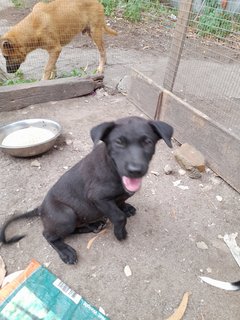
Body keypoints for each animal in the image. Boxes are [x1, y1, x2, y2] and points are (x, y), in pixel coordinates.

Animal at [0, 116, 172, 264]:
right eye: (119, 142)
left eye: (148, 142)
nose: (135, 170)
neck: (113, 168)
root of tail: (41, 209)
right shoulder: (97, 197)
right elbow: (119, 216)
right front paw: (120, 233)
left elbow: (121, 202)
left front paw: (126, 208)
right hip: (66, 215)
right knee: (49, 235)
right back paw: (66, 252)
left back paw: (93, 226)